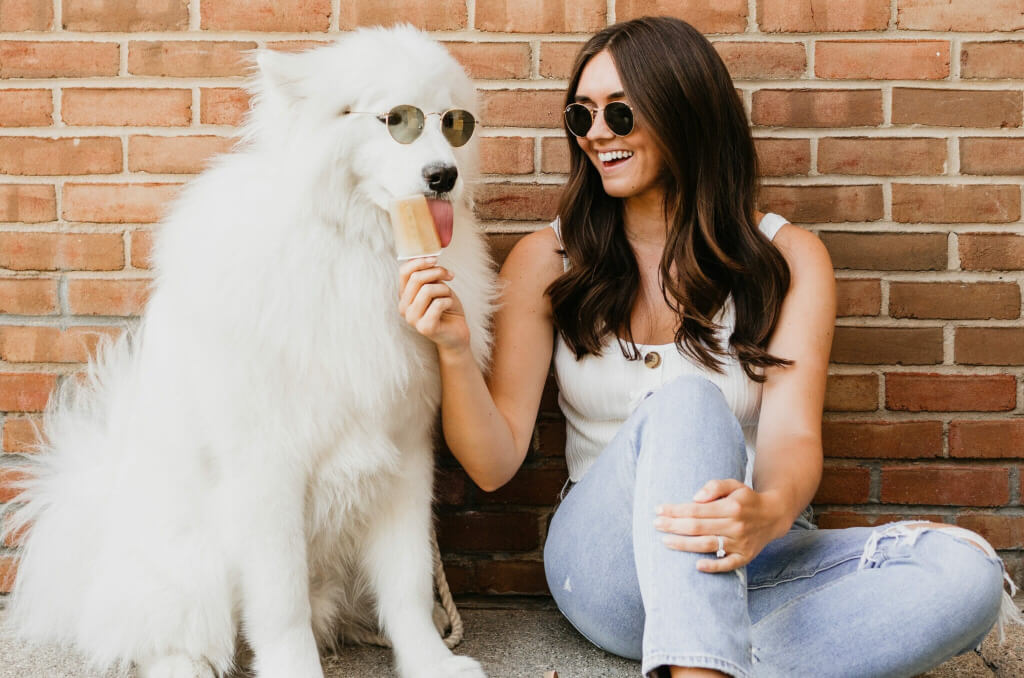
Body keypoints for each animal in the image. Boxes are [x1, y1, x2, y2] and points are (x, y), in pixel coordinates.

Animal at [3, 23, 491, 675]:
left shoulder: (406, 454)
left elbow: (408, 585)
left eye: (454, 123)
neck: (357, 248)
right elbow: (282, 605)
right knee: (158, 641)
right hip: (191, 561)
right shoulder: (268, 468)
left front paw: (432, 663)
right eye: (397, 120)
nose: (445, 176)